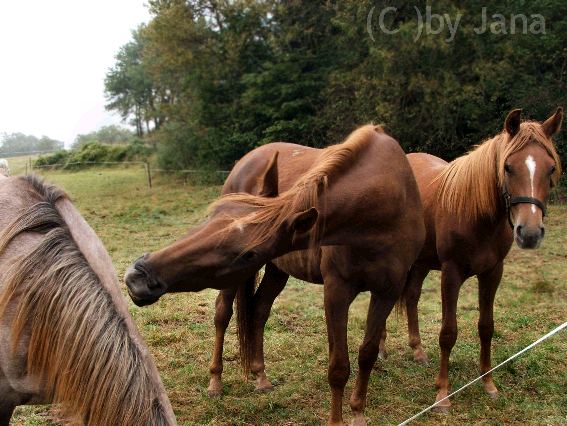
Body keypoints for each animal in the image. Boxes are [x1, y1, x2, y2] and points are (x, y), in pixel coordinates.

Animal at [125, 125, 426, 424]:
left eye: (249, 254)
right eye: (211, 217)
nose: (136, 276)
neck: (382, 205)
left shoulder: (387, 292)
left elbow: (367, 354)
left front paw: (358, 414)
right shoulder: (337, 291)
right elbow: (339, 366)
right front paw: (336, 420)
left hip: (277, 270)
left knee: (259, 310)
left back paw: (260, 376)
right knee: (222, 315)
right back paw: (215, 383)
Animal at [382, 108, 564, 412]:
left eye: (550, 168)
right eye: (507, 167)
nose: (529, 233)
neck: (475, 214)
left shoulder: (492, 272)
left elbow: (486, 327)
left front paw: (489, 384)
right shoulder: (451, 273)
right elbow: (448, 333)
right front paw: (442, 395)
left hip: (421, 262)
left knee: (412, 296)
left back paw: (418, 351)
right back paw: (381, 351)